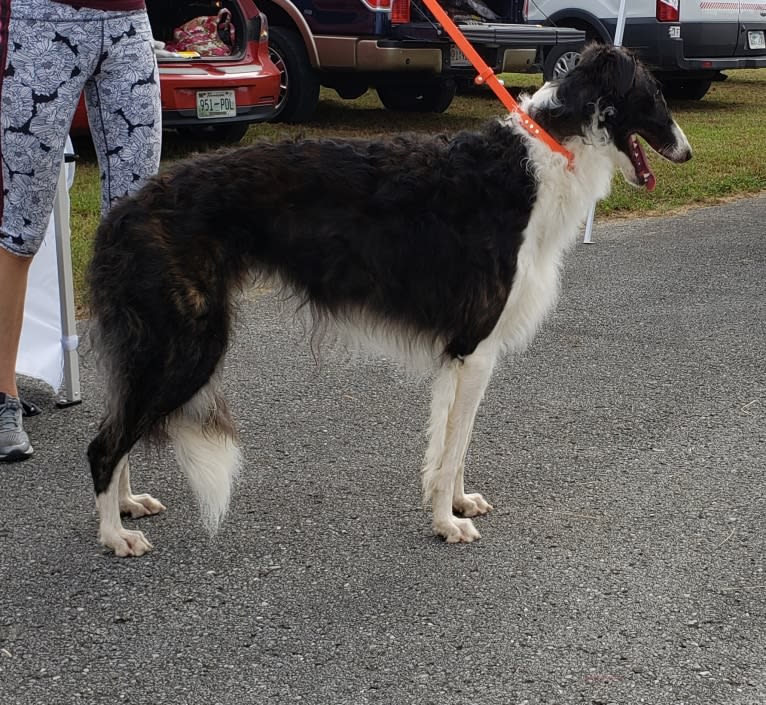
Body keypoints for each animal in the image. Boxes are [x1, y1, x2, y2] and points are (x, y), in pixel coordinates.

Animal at [87, 46, 692, 560]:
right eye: (654, 95)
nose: (685, 151)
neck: (540, 161)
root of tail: (125, 210)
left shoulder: (462, 353)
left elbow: (450, 447)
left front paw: (456, 504)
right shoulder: (475, 347)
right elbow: (453, 447)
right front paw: (447, 524)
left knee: (118, 424)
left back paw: (127, 504)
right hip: (188, 344)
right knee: (103, 445)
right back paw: (115, 535)